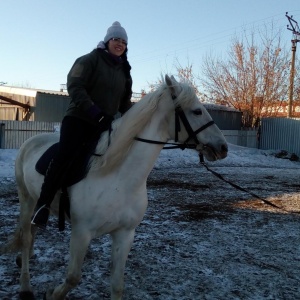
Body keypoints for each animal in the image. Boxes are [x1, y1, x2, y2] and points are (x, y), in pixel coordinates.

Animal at [1, 75, 227, 300]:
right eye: (197, 111)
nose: (223, 147)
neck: (118, 178)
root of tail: (31, 141)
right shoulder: (81, 233)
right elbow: (73, 276)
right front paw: (52, 294)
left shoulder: (124, 234)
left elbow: (117, 285)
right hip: (26, 199)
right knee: (26, 236)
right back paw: (25, 287)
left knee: (32, 230)